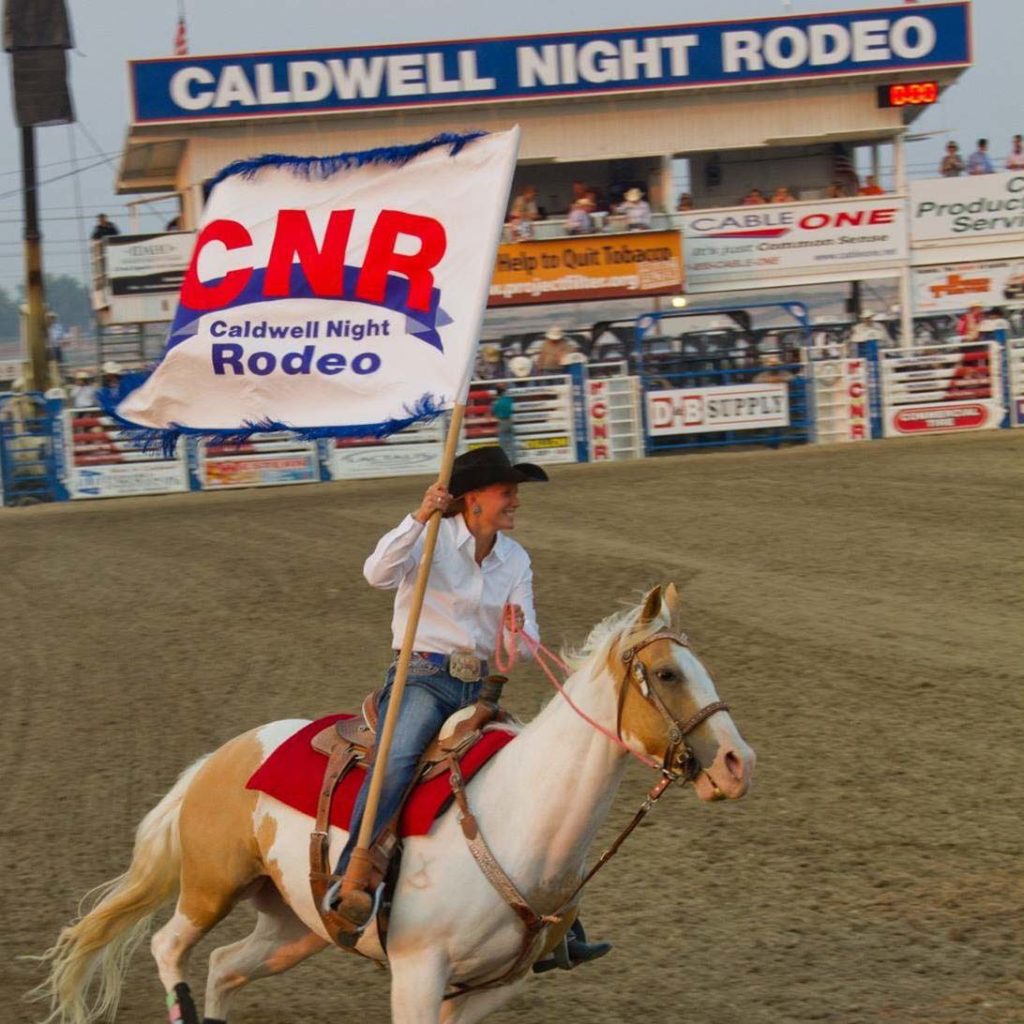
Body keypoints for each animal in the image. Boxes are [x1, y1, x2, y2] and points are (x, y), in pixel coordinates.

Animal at [36, 589, 753, 1024]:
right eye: (667, 674)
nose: (736, 763)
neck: (520, 819)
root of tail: (222, 758)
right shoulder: (416, 972)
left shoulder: (495, 986)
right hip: (210, 886)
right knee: (170, 946)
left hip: (294, 926)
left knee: (223, 968)